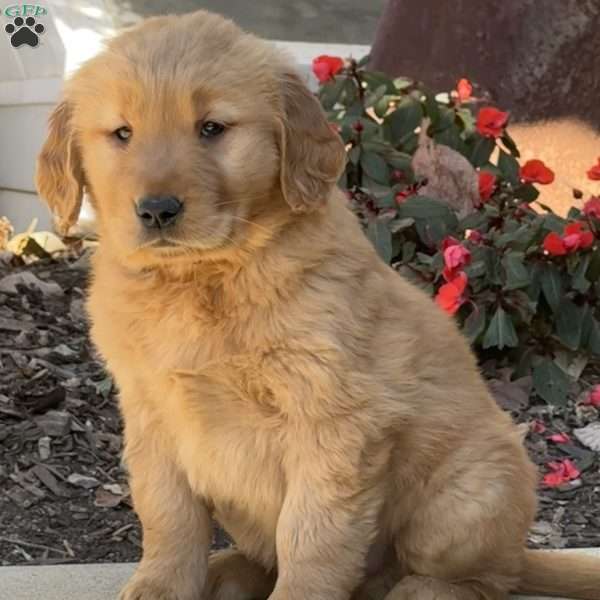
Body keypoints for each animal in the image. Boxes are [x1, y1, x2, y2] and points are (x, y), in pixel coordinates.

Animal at [36, 9, 600, 600]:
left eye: (212, 128)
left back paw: (422, 590)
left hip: (466, 496)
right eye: (122, 133)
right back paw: (230, 571)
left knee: (489, 576)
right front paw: (160, 586)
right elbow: (168, 515)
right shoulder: (151, 411)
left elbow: (312, 535)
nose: (157, 210)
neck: (203, 277)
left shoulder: (334, 421)